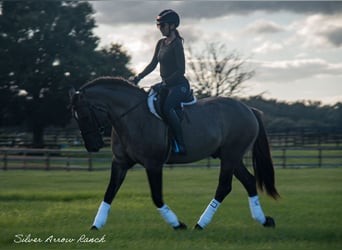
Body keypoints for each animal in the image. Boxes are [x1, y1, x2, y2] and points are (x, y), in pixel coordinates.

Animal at [69, 75, 278, 230]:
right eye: (75, 116)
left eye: (84, 115)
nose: (93, 146)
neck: (131, 117)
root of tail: (248, 109)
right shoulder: (120, 162)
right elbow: (109, 192)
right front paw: (96, 225)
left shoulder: (153, 164)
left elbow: (156, 197)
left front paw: (177, 224)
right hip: (231, 158)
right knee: (249, 181)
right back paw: (264, 220)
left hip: (230, 157)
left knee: (224, 187)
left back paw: (201, 224)